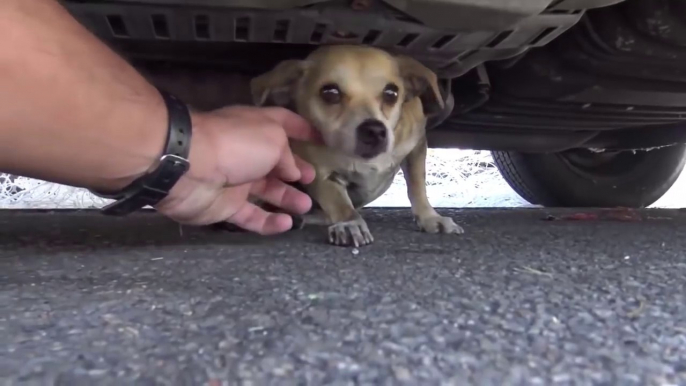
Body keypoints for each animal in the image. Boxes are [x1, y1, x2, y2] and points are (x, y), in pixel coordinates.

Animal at [250, 43, 464, 246]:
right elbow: (340, 204)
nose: (375, 130)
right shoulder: (320, 173)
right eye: (330, 92)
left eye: (391, 93)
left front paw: (430, 217)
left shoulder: (416, 146)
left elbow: (417, 187)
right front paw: (350, 224)